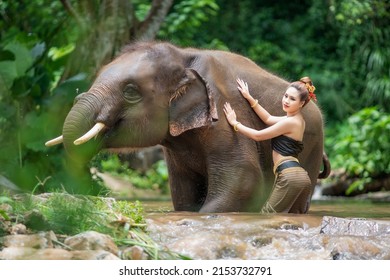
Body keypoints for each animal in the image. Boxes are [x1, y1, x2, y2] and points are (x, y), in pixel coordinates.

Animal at [45, 41, 330, 212]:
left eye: (130, 91)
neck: (183, 56)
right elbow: (183, 193)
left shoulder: (222, 111)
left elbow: (244, 178)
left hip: (311, 151)